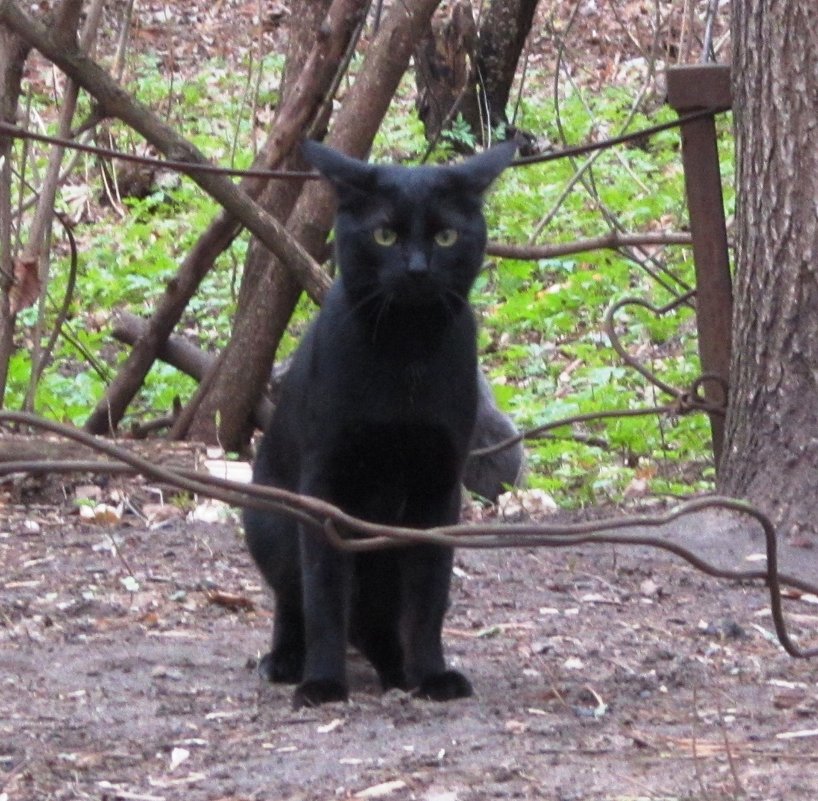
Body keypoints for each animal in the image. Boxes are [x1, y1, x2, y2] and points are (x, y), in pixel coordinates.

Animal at [242, 138, 512, 708]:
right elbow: (323, 594)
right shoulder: (325, 486)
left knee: (378, 619)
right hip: (268, 522)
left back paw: (396, 668)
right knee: (295, 601)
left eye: (446, 236)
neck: (405, 351)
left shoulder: (438, 487)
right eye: (384, 234)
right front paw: (323, 683)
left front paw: (433, 675)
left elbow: (429, 595)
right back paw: (287, 661)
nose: (416, 270)